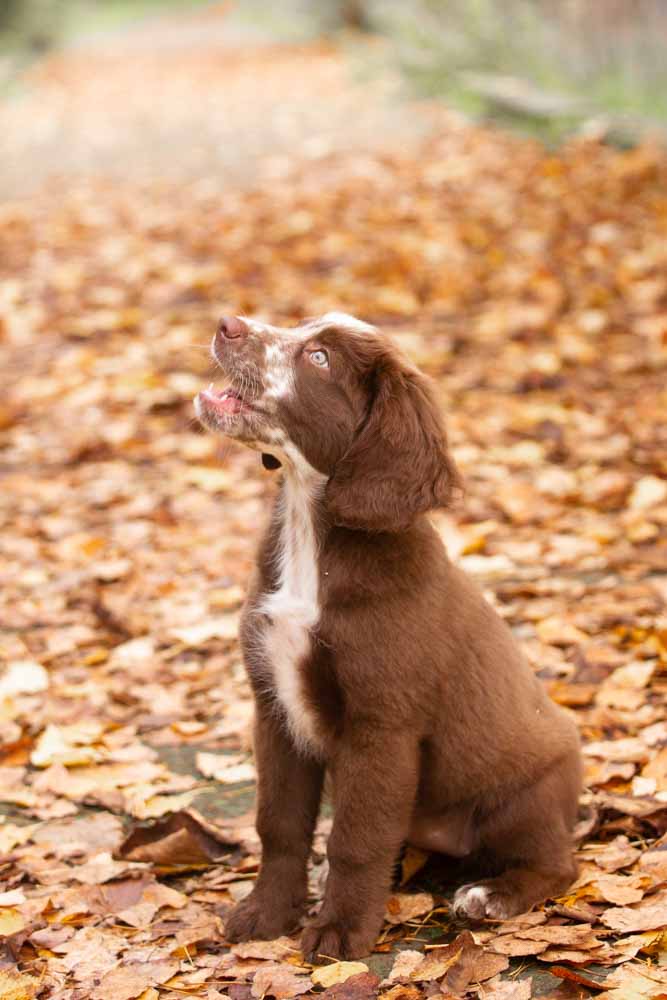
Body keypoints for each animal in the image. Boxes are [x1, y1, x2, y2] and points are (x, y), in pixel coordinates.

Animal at [196, 310, 580, 960]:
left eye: (320, 358)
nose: (228, 322)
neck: (313, 539)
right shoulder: (273, 708)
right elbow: (279, 823)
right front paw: (268, 913)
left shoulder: (381, 725)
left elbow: (356, 839)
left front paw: (339, 931)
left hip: (524, 797)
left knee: (557, 865)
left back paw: (492, 895)